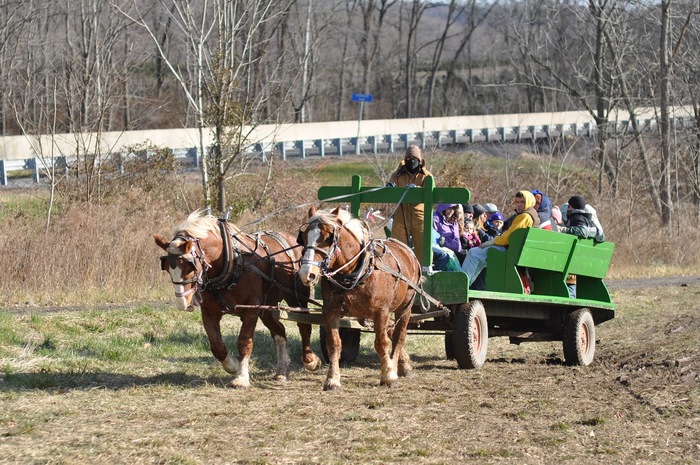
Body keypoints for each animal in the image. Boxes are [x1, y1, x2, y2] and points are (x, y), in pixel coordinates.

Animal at [153, 210, 322, 388]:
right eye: (167, 268)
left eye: (189, 267)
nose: (182, 303)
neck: (231, 263)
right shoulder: (209, 312)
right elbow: (217, 346)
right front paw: (233, 365)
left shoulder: (251, 311)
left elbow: (244, 342)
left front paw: (241, 377)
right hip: (268, 307)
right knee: (279, 331)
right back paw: (282, 371)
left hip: (296, 298)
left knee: (304, 326)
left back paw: (310, 360)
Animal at [296, 205, 422, 390]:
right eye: (304, 237)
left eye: (328, 238)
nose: (307, 274)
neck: (354, 273)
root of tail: (407, 250)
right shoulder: (331, 311)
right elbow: (334, 344)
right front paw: (332, 379)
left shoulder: (381, 312)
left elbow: (381, 343)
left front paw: (388, 376)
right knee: (392, 331)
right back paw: (403, 364)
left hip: (405, 307)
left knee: (399, 336)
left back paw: (397, 367)